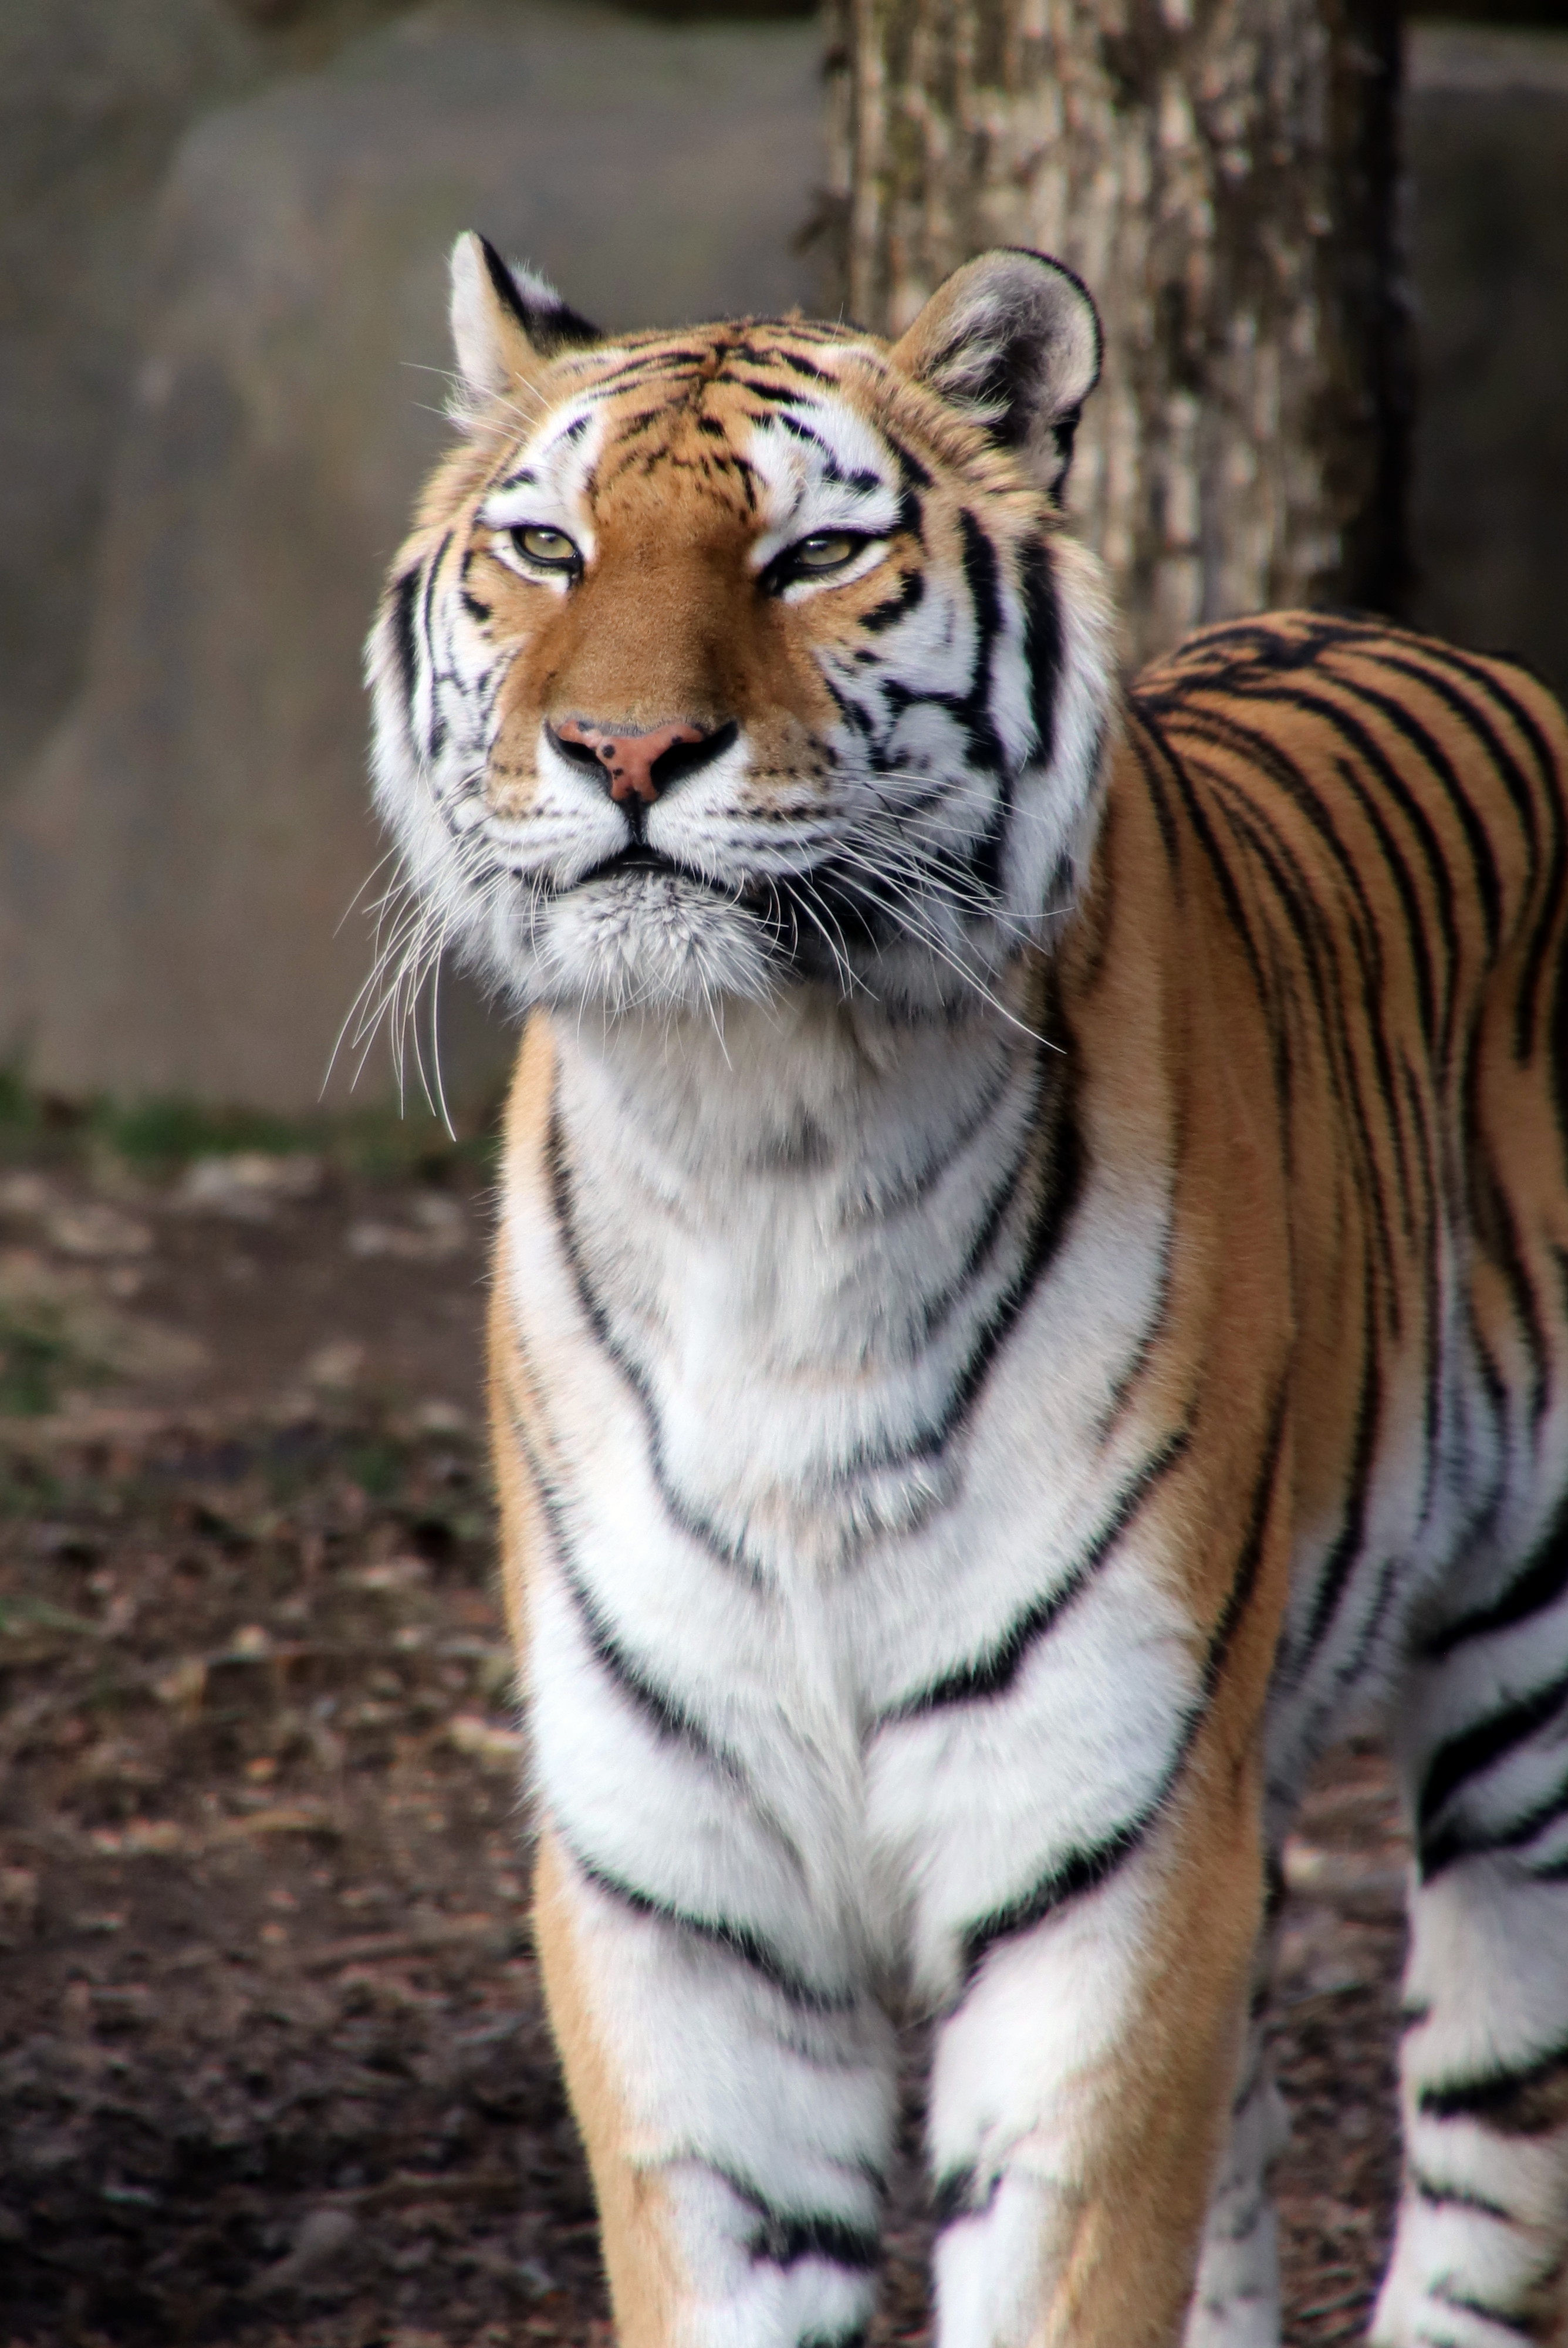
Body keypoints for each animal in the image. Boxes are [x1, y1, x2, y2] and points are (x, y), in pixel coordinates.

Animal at [366, 232, 1568, 2348]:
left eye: (809, 557)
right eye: (546, 547)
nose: (620, 753)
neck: (755, 1137)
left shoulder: (1103, 1849)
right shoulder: (679, 1894)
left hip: (1528, 1715)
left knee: (1487, 2154)